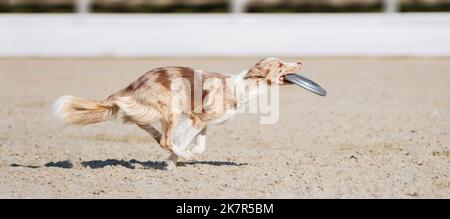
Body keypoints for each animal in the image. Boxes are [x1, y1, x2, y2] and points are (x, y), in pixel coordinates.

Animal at [54, 57, 304, 170]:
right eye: (280, 65)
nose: (300, 62)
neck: (242, 86)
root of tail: (131, 86)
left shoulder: (202, 121)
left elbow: (200, 145)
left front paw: (175, 162)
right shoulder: (195, 118)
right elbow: (182, 143)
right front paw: (179, 158)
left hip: (146, 112)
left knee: (155, 134)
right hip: (170, 109)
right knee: (165, 140)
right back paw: (182, 154)